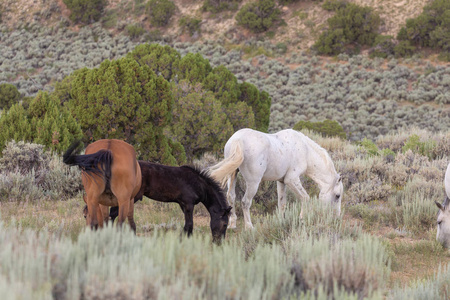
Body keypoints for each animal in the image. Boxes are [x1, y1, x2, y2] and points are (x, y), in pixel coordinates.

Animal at [209, 127, 342, 229]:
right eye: (337, 196)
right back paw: (249, 227)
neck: (305, 151)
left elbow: (282, 203)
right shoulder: (292, 180)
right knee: (245, 202)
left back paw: (232, 225)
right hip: (253, 183)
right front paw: (302, 219)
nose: (336, 217)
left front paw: (282, 221)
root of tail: (237, 140)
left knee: (231, 197)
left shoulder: (281, 181)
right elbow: (305, 198)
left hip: (232, 175)